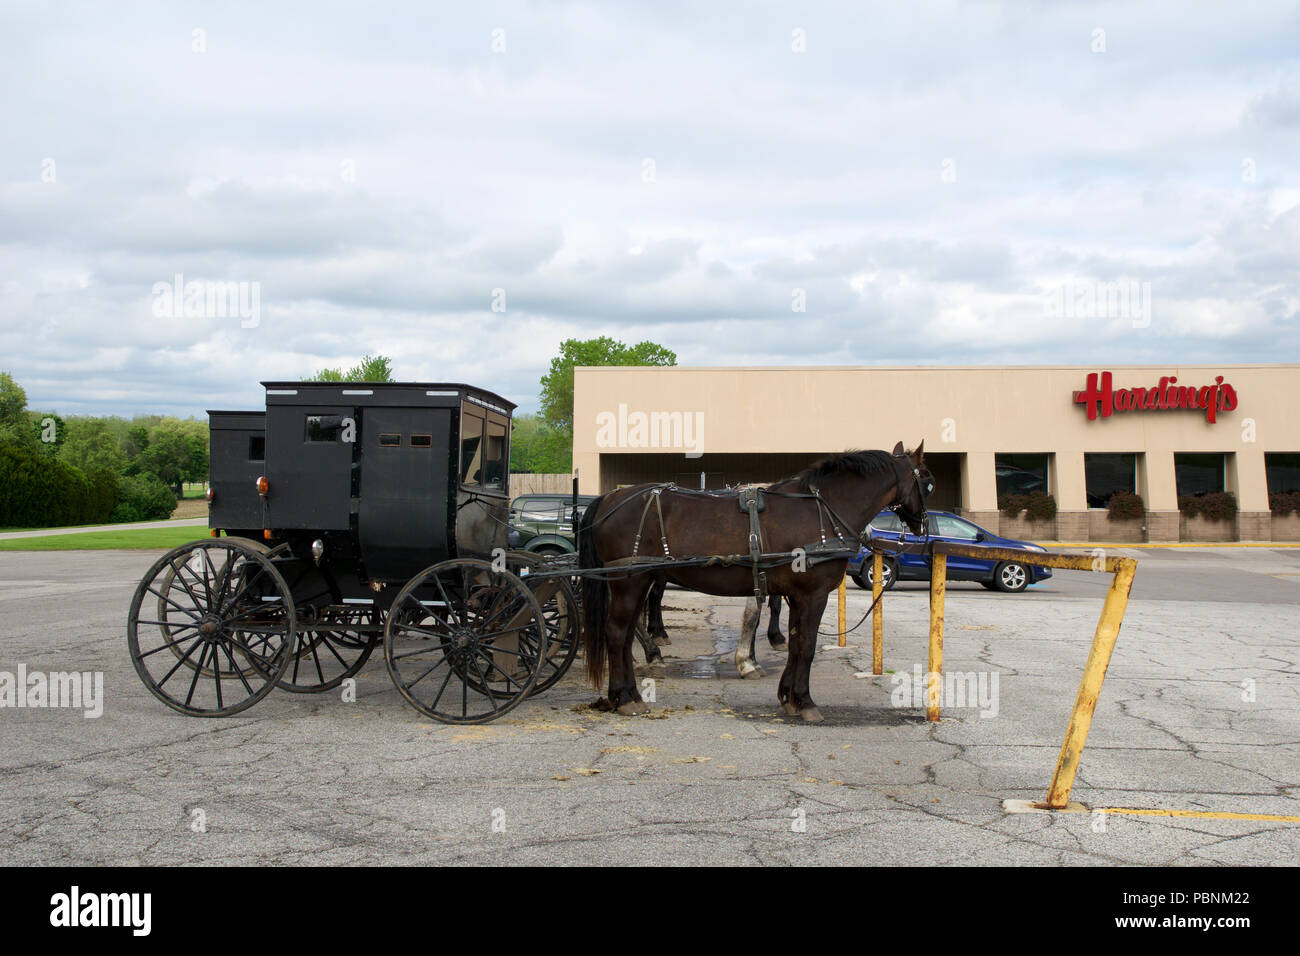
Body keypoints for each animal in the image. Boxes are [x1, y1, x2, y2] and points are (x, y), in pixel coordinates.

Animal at [577, 444, 925, 723]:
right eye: (928, 478)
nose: (922, 526)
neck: (821, 510)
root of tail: (609, 498)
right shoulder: (813, 595)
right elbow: (807, 646)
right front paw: (805, 701)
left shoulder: (797, 595)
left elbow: (795, 643)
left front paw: (788, 697)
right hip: (629, 582)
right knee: (616, 633)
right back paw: (625, 697)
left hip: (639, 580)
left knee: (625, 636)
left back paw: (632, 691)